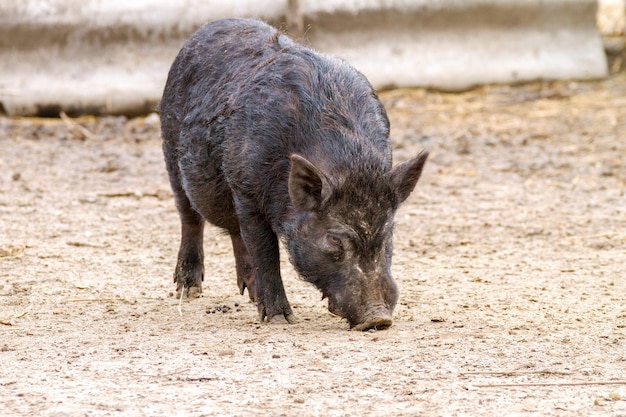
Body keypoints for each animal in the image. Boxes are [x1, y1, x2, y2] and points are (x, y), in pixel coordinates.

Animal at [158, 19, 426, 330]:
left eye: (387, 235)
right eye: (335, 240)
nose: (378, 319)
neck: (346, 163)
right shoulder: (245, 191)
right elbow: (266, 252)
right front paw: (280, 319)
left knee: (235, 232)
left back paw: (250, 295)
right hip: (171, 151)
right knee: (190, 216)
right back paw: (188, 290)